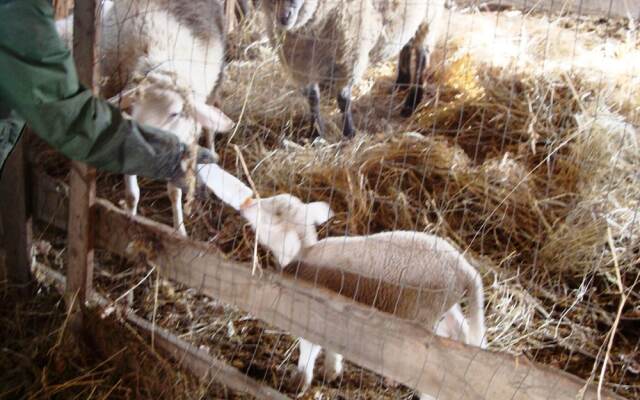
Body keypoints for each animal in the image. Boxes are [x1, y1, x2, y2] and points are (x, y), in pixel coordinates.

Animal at [101, 0, 236, 236]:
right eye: (134, 109)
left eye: (174, 113)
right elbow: (132, 193)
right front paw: (129, 217)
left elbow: (174, 192)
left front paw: (179, 230)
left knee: (210, 127)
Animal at [239, 195, 484, 396]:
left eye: (278, 212)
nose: (247, 205)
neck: (303, 252)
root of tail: (463, 268)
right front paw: (332, 371)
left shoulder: (311, 308)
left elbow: (309, 347)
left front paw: (300, 382)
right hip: (444, 305)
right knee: (460, 334)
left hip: (424, 312)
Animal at [258, 0, 444, 138]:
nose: (283, 18)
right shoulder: (300, 66)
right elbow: (313, 99)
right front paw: (315, 133)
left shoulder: (349, 57)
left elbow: (343, 98)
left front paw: (349, 133)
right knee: (406, 44)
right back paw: (402, 82)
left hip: (428, 18)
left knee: (422, 56)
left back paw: (412, 102)